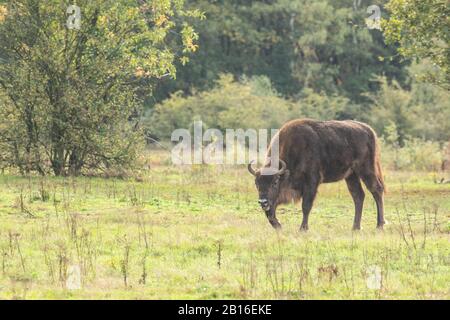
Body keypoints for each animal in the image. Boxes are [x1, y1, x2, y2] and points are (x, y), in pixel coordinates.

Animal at [248, 119, 384, 231]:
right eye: (256, 183)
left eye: (275, 182)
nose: (263, 202)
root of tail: (369, 130)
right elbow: (270, 213)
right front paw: (279, 227)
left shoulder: (311, 182)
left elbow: (306, 206)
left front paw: (303, 228)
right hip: (351, 176)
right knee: (358, 196)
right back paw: (355, 227)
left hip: (366, 170)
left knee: (376, 190)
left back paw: (379, 226)